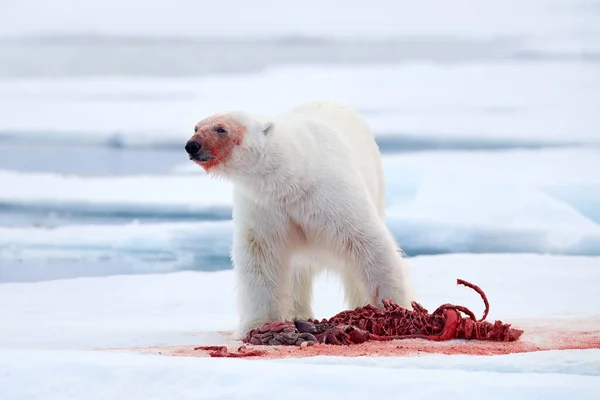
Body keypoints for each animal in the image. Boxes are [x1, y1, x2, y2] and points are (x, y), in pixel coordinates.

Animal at [185, 101, 414, 338]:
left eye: (221, 129)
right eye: (196, 127)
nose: (192, 145)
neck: (294, 178)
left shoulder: (330, 195)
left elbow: (366, 241)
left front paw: (393, 310)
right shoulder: (264, 206)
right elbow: (261, 255)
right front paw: (260, 324)